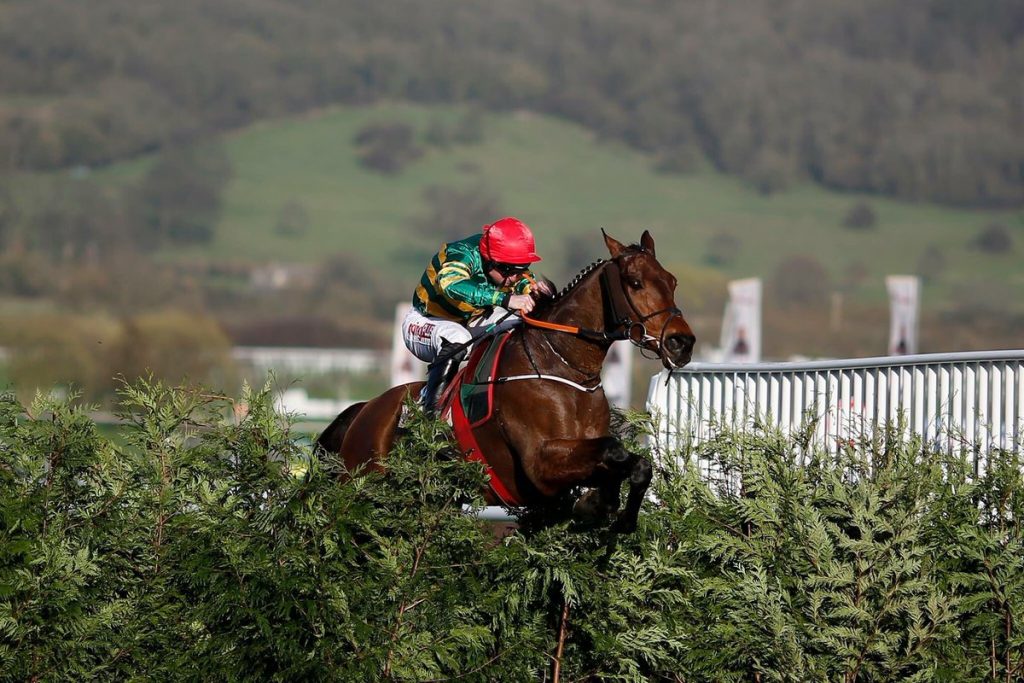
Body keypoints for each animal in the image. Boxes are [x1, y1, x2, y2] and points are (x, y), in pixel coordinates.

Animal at [317, 229, 695, 533]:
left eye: (673, 281)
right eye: (635, 282)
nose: (682, 342)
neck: (562, 365)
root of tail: (366, 409)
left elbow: (635, 463)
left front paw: (613, 510)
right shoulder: (540, 464)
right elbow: (612, 449)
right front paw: (602, 504)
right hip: (365, 485)